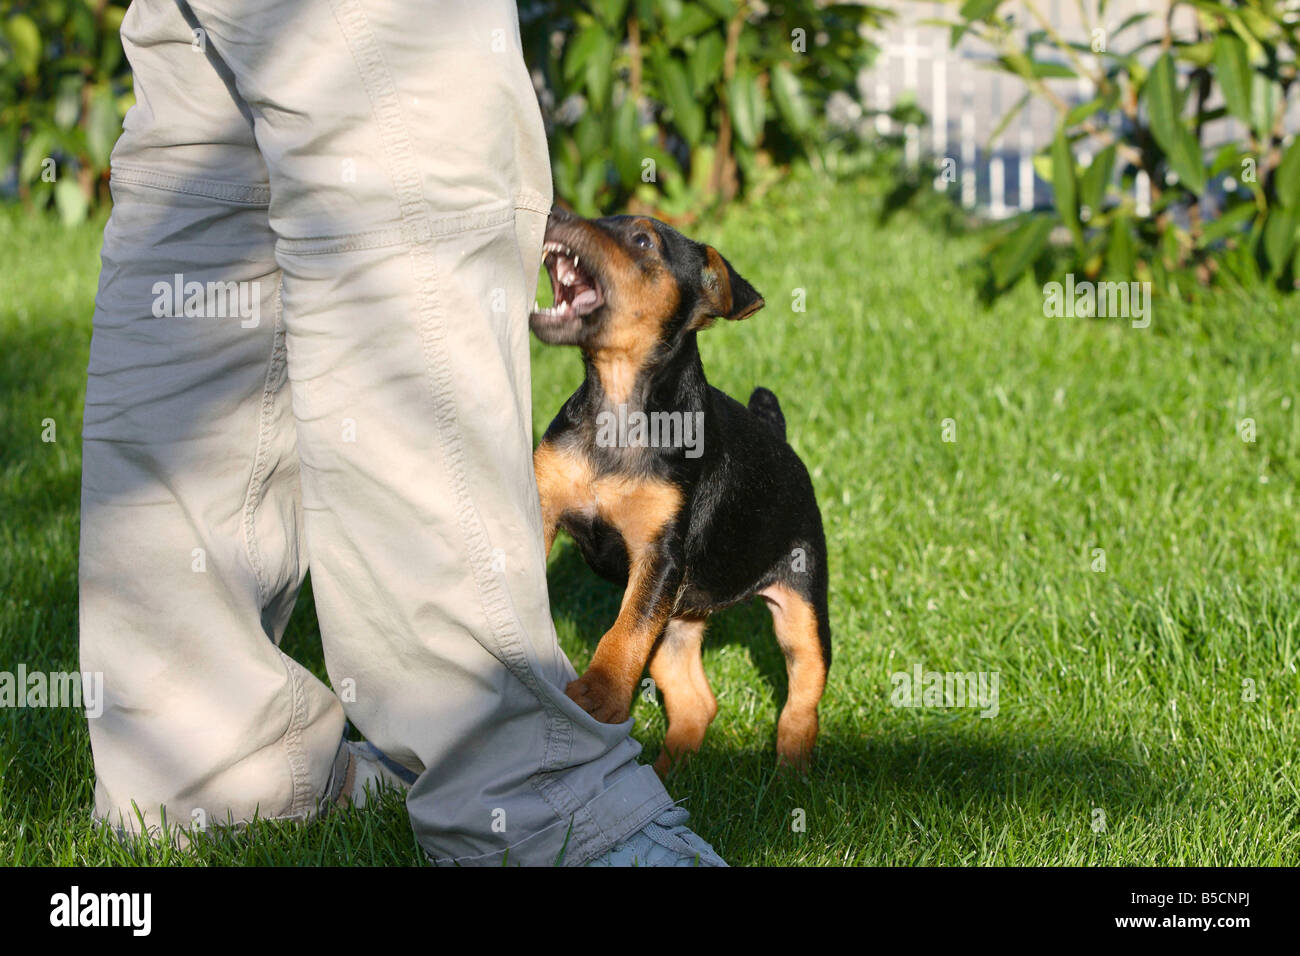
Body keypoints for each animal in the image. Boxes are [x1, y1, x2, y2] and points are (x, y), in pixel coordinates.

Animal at [530, 208, 826, 770]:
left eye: (643, 240)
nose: (555, 213)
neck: (618, 404)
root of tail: (777, 436)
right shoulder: (546, 510)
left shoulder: (660, 556)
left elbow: (623, 632)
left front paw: (599, 695)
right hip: (677, 621)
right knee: (696, 700)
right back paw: (671, 771)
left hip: (800, 605)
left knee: (805, 692)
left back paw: (792, 770)